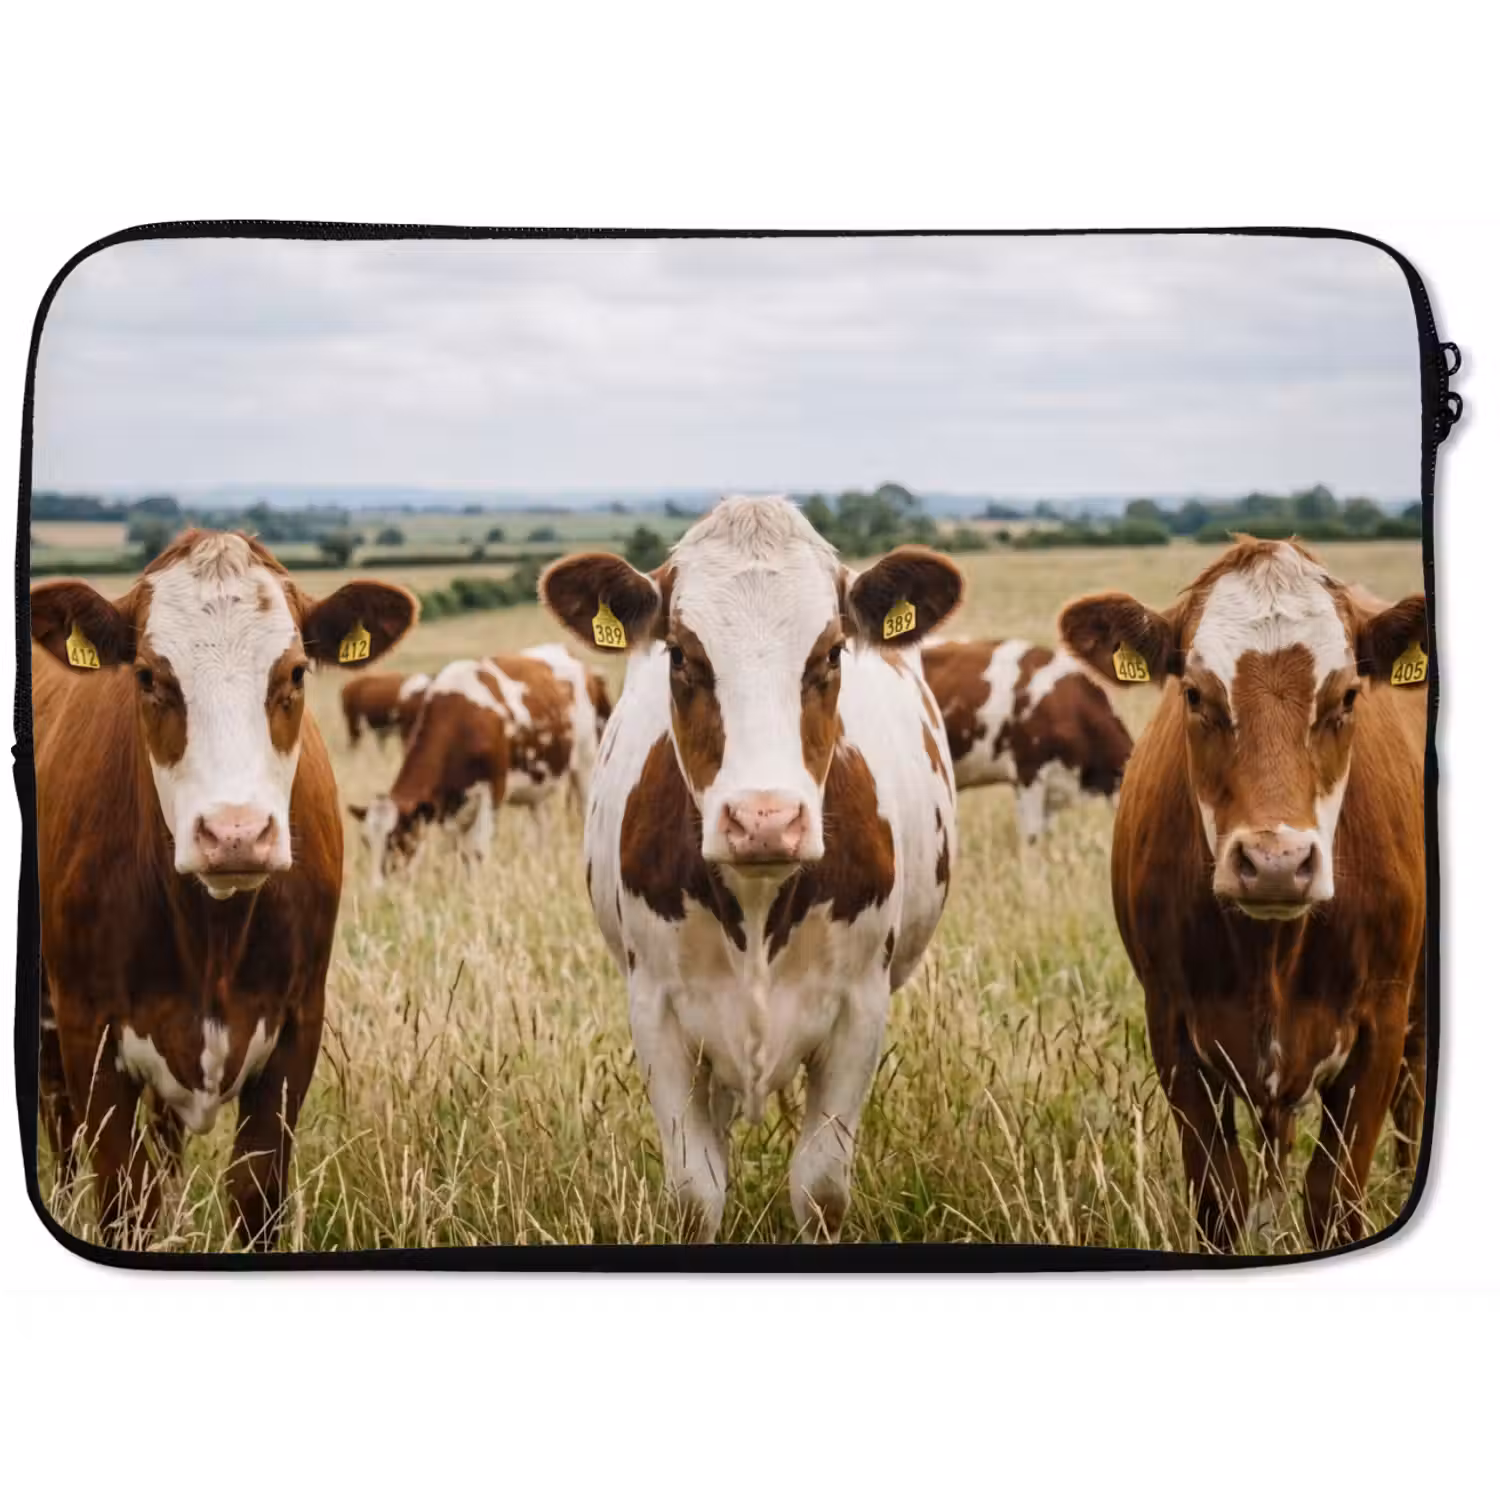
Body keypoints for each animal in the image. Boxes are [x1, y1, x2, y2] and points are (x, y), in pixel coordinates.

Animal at [27, 529, 418, 1248]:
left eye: (295, 672)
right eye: (148, 676)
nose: (235, 833)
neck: (212, 933)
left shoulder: (297, 1025)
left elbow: (255, 1192)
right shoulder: (87, 1030)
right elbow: (125, 1198)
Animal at [349, 650, 577, 884]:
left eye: (397, 839)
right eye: (366, 841)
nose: (378, 888)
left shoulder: (493, 790)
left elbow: (479, 850)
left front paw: (480, 887)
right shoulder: (449, 806)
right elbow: (462, 852)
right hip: (538, 788)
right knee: (542, 827)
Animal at [539, 494, 964, 1244]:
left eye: (831, 652)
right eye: (682, 654)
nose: (765, 818)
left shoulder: (860, 1008)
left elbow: (820, 1188)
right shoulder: (657, 1010)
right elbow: (695, 1192)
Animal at [1057, 536, 1429, 1252]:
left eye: (1347, 697)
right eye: (1195, 695)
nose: (1276, 863)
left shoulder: (1382, 1022)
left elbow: (1334, 1195)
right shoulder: (1172, 1025)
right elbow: (1219, 1196)